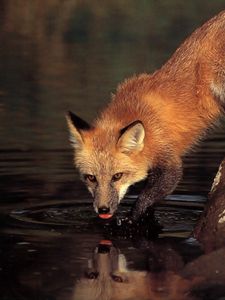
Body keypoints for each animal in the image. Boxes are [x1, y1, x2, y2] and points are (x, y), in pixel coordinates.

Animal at [66, 11, 225, 220]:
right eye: (91, 178)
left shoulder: (167, 157)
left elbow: (151, 193)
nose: (103, 210)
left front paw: (131, 219)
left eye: (117, 176)